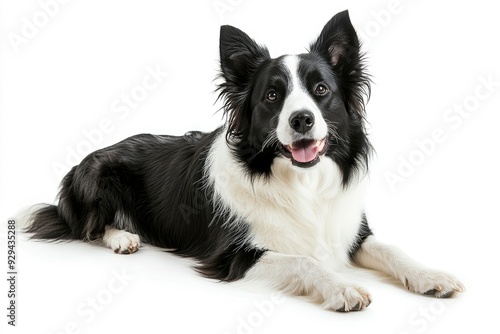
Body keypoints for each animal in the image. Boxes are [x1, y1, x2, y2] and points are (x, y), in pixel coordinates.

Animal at [23, 11, 462, 314]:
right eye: (272, 96)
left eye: (321, 90)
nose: (302, 119)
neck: (302, 184)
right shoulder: (233, 256)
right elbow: (304, 261)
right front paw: (343, 287)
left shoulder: (350, 230)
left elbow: (391, 249)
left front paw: (431, 276)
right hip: (99, 176)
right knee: (87, 226)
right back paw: (122, 237)